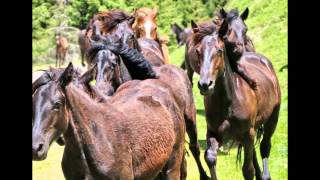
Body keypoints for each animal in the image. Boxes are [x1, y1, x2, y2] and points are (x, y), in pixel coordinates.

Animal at [191, 18, 282, 180]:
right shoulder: (214, 133)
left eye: (219, 51)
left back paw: (265, 175)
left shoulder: (247, 134)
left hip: (272, 119)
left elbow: (248, 170)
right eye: (198, 51)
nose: (205, 85)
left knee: (264, 146)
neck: (229, 103)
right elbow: (210, 157)